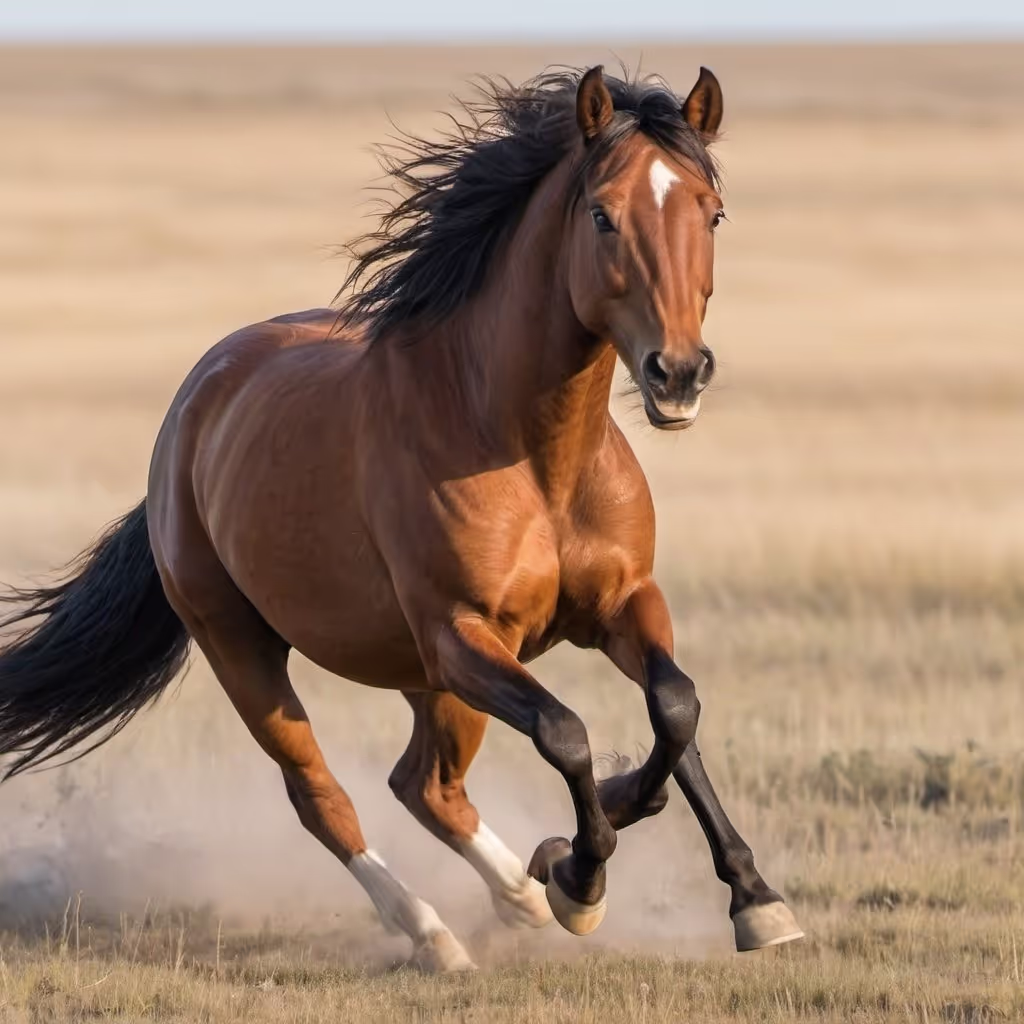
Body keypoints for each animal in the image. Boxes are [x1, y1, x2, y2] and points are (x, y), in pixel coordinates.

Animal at [0, 65, 802, 971]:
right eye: (602, 214)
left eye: (713, 211)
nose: (679, 375)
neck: (533, 456)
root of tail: (191, 411)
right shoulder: (462, 634)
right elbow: (565, 730)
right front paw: (581, 878)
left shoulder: (624, 602)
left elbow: (676, 709)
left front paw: (749, 895)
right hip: (250, 650)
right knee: (326, 796)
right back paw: (439, 931)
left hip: (428, 679)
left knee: (425, 785)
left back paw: (520, 891)